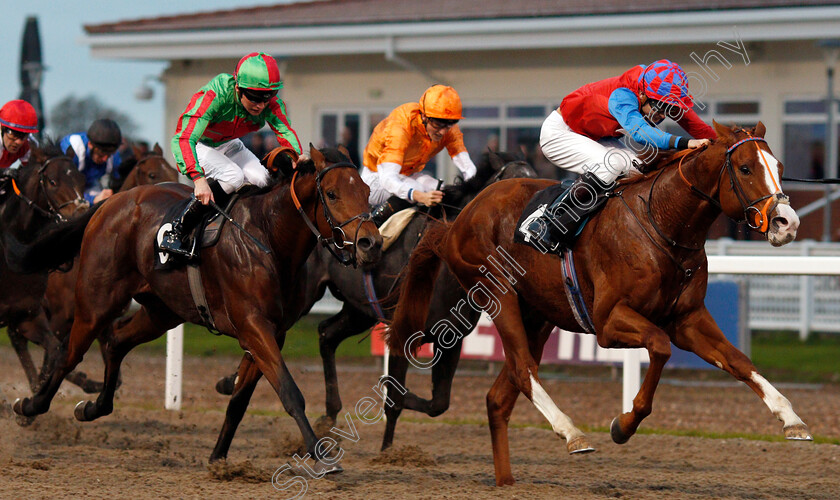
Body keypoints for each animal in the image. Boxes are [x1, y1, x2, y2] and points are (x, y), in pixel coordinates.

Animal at [11, 145, 380, 472]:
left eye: (365, 190)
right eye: (331, 193)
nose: (370, 243)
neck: (269, 237)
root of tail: (111, 203)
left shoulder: (273, 332)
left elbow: (239, 401)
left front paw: (218, 458)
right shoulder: (253, 325)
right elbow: (289, 392)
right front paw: (322, 457)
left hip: (161, 311)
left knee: (116, 341)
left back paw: (92, 407)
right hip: (95, 302)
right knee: (68, 353)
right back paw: (30, 404)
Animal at [212, 150, 540, 456]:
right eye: (511, 190)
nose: (531, 234)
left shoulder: (451, 337)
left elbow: (439, 403)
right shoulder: (404, 331)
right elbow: (396, 398)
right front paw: (386, 451)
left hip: (359, 310)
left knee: (326, 334)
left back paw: (325, 413)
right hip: (304, 301)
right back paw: (232, 381)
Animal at [386, 123, 808, 486]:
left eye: (780, 167)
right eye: (746, 167)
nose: (786, 222)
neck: (662, 223)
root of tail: (458, 219)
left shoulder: (687, 319)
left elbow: (738, 360)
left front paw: (791, 417)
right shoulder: (609, 321)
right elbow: (659, 347)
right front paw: (623, 425)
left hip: (538, 315)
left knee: (499, 396)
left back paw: (506, 479)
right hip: (497, 292)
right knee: (522, 370)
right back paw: (571, 432)